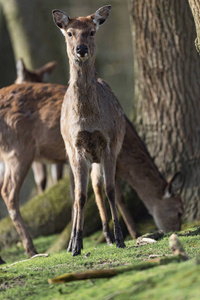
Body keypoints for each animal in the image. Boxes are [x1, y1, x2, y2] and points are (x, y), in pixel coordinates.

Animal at [52, 5, 126, 255]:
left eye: (92, 32)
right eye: (70, 33)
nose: (81, 49)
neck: (88, 119)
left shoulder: (109, 144)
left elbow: (112, 190)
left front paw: (120, 238)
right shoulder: (76, 148)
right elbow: (80, 196)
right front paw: (76, 245)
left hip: (99, 156)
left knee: (98, 186)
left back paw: (109, 236)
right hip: (70, 151)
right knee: (78, 193)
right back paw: (72, 243)